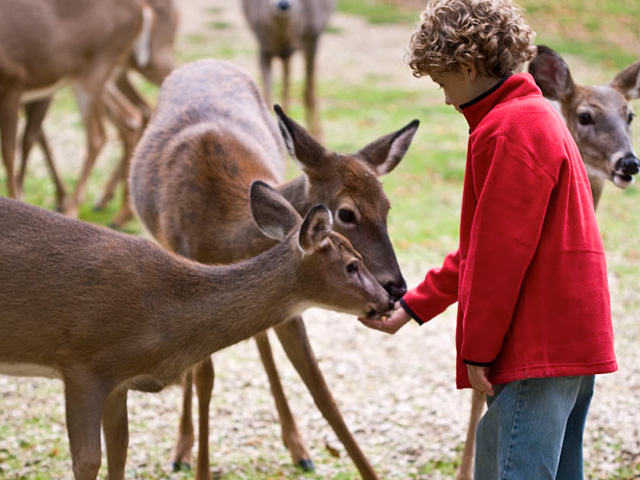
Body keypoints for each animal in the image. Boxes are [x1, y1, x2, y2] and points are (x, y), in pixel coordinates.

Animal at [0, 181, 391, 480]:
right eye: (352, 264)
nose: (387, 300)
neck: (162, 318)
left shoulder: (119, 381)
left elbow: (119, 456)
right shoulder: (82, 364)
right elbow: (87, 462)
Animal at [15, 0, 179, 228]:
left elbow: (29, 137)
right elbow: (37, 136)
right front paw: (57, 197)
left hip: (139, 63)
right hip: (115, 74)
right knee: (139, 112)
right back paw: (113, 203)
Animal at [129, 58, 418, 479]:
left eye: (387, 207)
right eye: (347, 213)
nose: (397, 287)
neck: (222, 230)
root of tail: (205, 61)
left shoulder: (292, 294)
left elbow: (320, 388)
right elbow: (205, 380)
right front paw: (197, 462)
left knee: (262, 341)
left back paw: (298, 447)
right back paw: (181, 449)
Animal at [241, 0, 336, 139]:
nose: (283, 4)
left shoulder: (312, 38)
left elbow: (309, 92)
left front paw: (317, 135)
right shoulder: (263, 45)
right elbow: (267, 97)